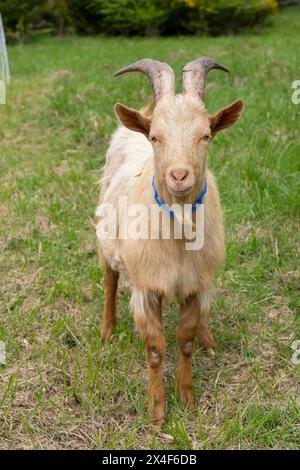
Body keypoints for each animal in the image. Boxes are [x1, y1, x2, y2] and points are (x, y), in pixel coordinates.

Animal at [96, 57, 244, 424]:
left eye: (206, 135)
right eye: (155, 137)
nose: (179, 175)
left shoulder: (194, 284)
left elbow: (185, 341)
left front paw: (187, 399)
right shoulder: (146, 286)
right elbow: (154, 348)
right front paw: (157, 410)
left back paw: (208, 338)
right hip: (106, 242)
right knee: (108, 281)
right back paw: (107, 330)